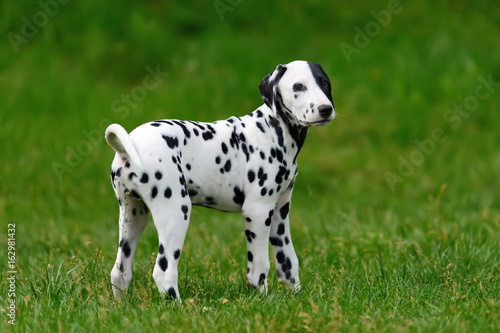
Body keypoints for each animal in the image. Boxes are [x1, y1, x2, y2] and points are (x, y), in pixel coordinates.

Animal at [104, 59, 336, 300]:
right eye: (298, 86)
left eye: (324, 83)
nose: (325, 109)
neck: (272, 129)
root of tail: (128, 144)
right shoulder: (258, 211)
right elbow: (259, 266)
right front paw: (261, 299)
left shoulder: (279, 213)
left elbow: (288, 261)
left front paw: (296, 297)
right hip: (176, 211)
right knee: (164, 271)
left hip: (133, 217)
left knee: (120, 271)